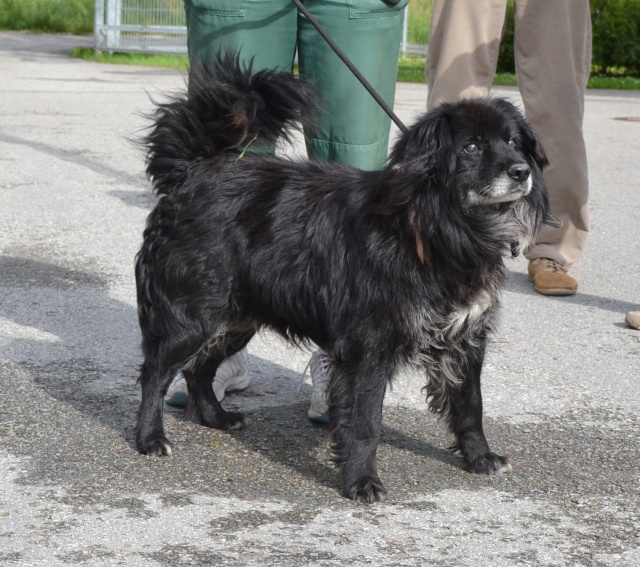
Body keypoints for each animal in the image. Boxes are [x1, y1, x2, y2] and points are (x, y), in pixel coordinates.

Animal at [135, 54, 556, 502]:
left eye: (513, 142)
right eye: (471, 147)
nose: (521, 171)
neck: (434, 228)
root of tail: (192, 172)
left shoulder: (466, 338)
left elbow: (471, 406)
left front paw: (480, 458)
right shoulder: (370, 349)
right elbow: (365, 423)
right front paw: (360, 480)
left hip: (236, 318)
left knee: (199, 371)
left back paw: (216, 418)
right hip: (194, 315)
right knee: (155, 374)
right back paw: (149, 438)